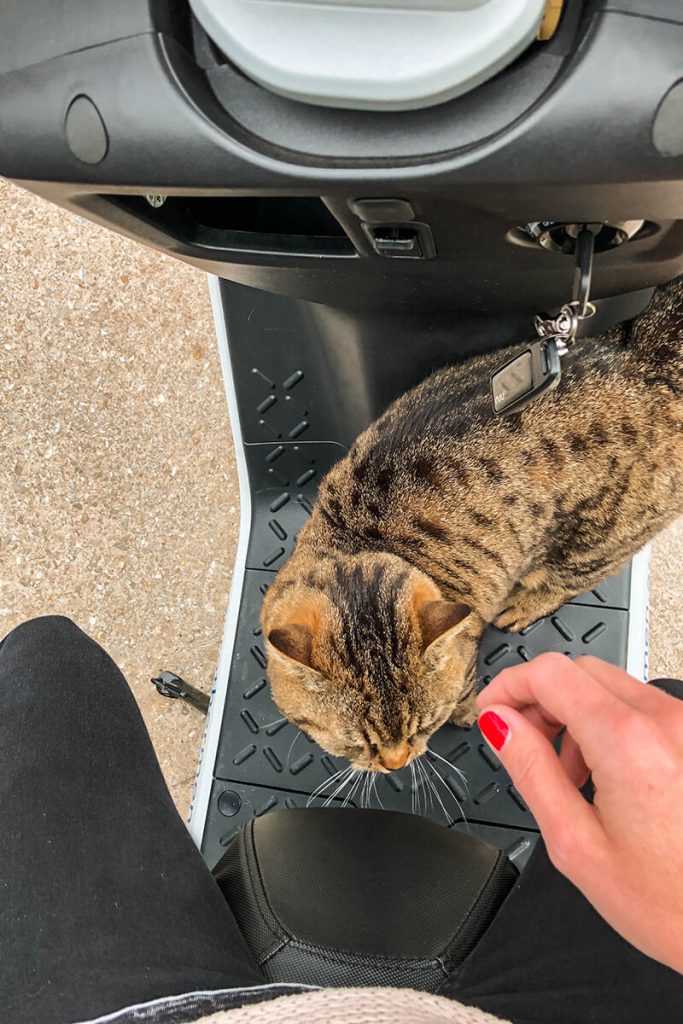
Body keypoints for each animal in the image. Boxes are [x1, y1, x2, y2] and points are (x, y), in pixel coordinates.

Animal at [262, 276, 683, 770]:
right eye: (357, 741)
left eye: (424, 725)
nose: (396, 763)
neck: (360, 539)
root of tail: (644, 359)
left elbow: (465, 693)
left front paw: (469, 714)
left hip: (598, 537)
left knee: (575, 575)